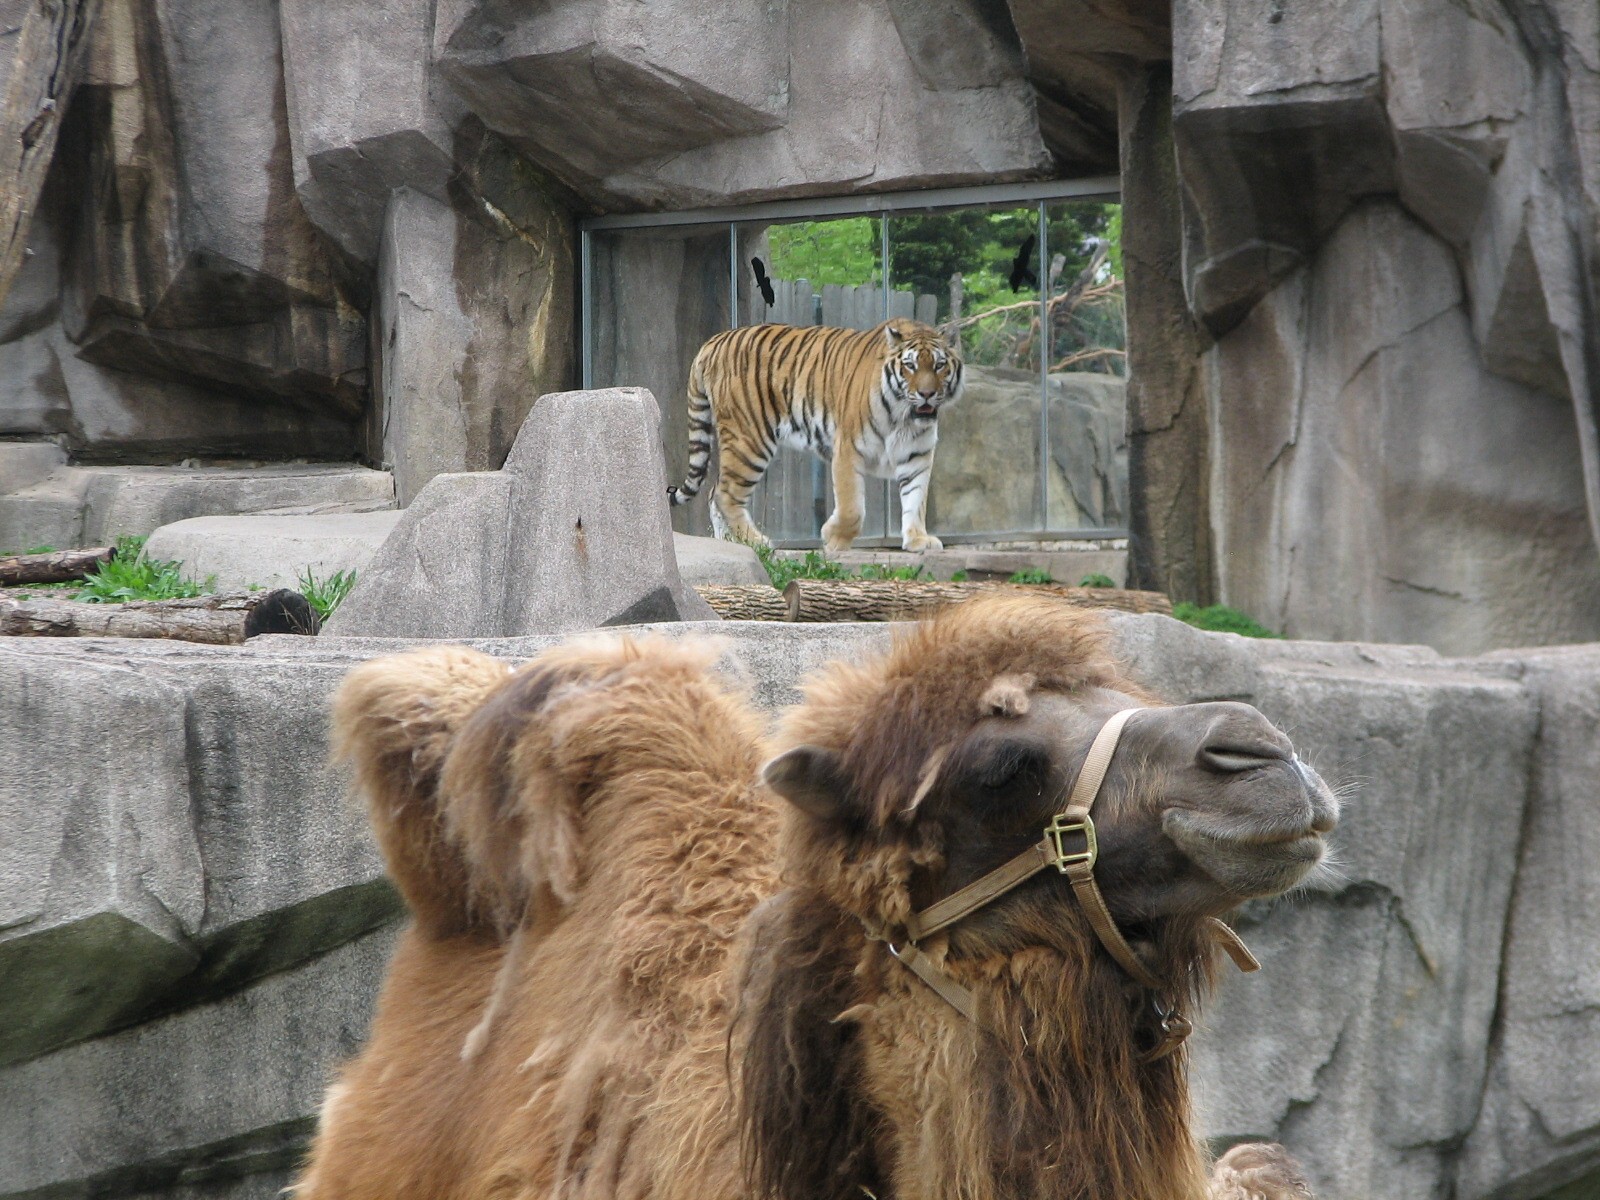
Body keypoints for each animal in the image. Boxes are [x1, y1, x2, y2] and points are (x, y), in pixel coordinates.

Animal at [667, 317, 964, 553]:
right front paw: (833, 540)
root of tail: (714, 341)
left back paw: (730, 543)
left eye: (939, 365)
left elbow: (915, 498)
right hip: (749, 439)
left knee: (714, 493)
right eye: (910, 366)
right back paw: (757, 542)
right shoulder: (848, 449)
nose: (927, 394)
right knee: (725, 494)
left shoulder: (917, 455)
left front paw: (919, 540)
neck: (903, 417)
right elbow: (852, 508)